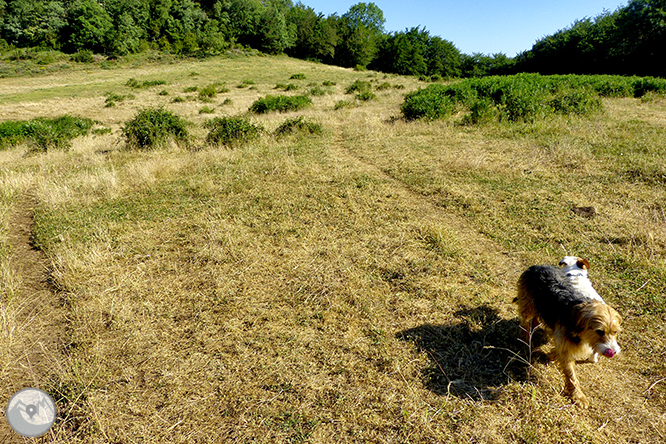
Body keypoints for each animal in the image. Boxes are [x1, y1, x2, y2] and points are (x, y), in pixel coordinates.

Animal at [512, 266, 616, 408]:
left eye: (615, 332)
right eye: (600, 331)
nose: (613, 351)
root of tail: (536, 267)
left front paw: (551, 355)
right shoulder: (566, 345)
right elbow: (571, 374)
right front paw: (578, 396)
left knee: (535, 320)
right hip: (528, 305)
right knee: (525, 324)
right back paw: (526, 342)